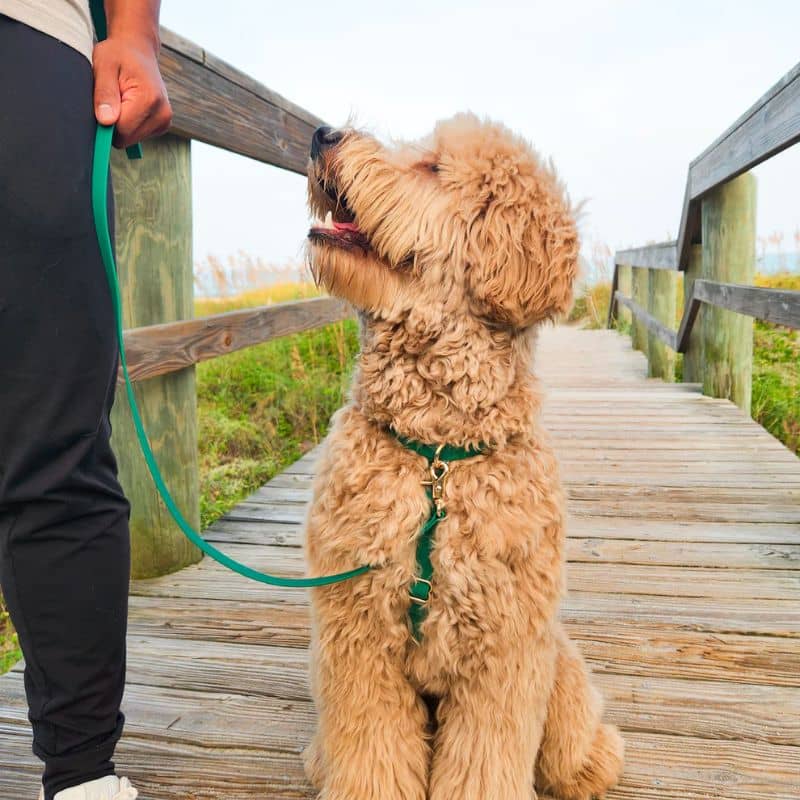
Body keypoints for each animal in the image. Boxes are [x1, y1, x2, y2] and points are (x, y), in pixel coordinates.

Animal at [304, 114, 620, 800]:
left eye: (430, 169)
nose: (321, 134)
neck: (438, 455)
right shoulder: (356, 636)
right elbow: (369, 751)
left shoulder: (505, 650)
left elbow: (485, 759)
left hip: (558, 667)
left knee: (576, 738)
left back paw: (590, 767)